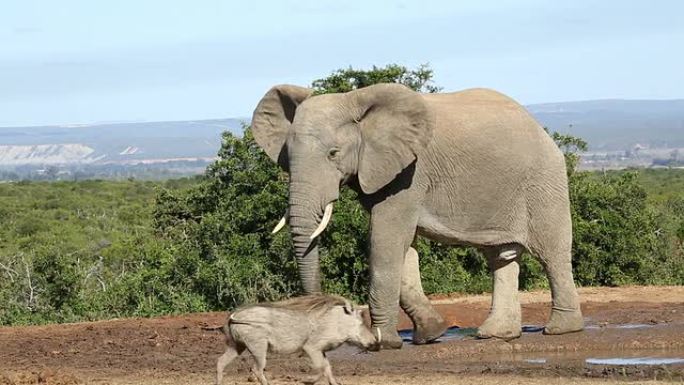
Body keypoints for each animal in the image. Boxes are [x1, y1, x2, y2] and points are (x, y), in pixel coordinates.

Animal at [251, 83, 584, 348]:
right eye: (287, 157)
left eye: (333, 153)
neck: (356, 102)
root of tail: (539, 127)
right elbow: (404, 248)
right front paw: (430, 334)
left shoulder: (410, 173)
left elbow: (385, 242)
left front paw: (383, 343)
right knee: (501, 258)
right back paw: (496, 335)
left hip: (543, 181)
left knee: (551, 254)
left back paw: (561, 330)